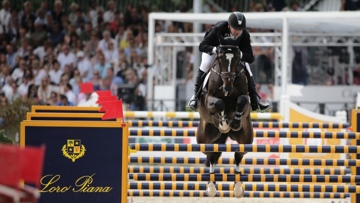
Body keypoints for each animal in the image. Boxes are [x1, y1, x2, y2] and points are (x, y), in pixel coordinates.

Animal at [197, 33, 253, 197]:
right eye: (220, 57)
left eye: (237, 58)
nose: (227, 87)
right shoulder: (209, 99)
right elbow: (220, 103)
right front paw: (224, 123)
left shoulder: (245, 97)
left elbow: (241, 100)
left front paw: (234, 122)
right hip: (204, 138)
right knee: (211, 155)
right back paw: (211, 187)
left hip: (246, 139)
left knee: (238, 155)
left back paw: (238, 187)